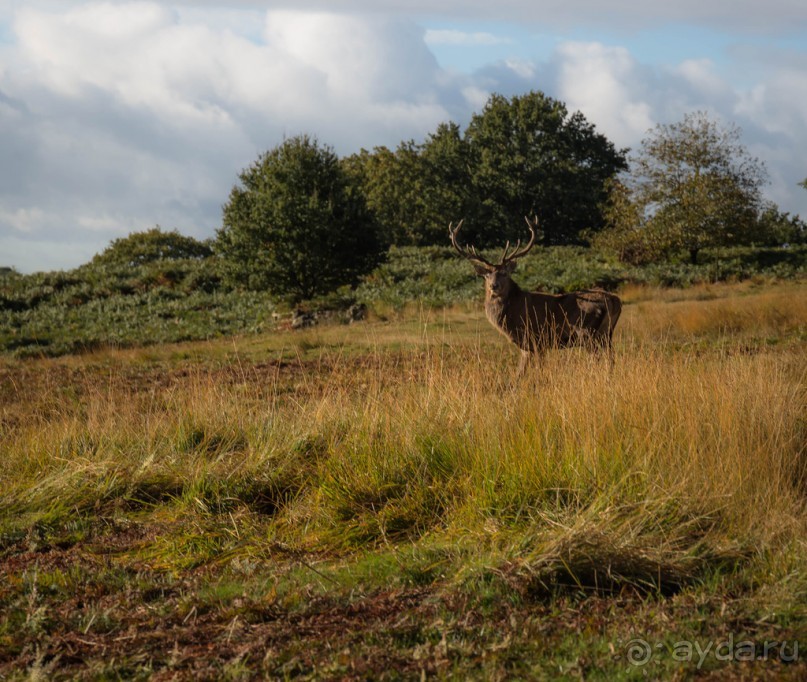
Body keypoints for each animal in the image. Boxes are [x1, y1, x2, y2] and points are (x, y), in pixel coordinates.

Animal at [452, 216, 620, 374]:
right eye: (487, 275)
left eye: (505, 273)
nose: (494, 286)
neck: (511, 316)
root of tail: (614, 301)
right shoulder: (528, 345)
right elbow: (520, 372)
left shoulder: (535, 339)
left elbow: (536, 369)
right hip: (606, 334)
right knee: (611, 359)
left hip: (586, 332)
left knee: (597, 359)